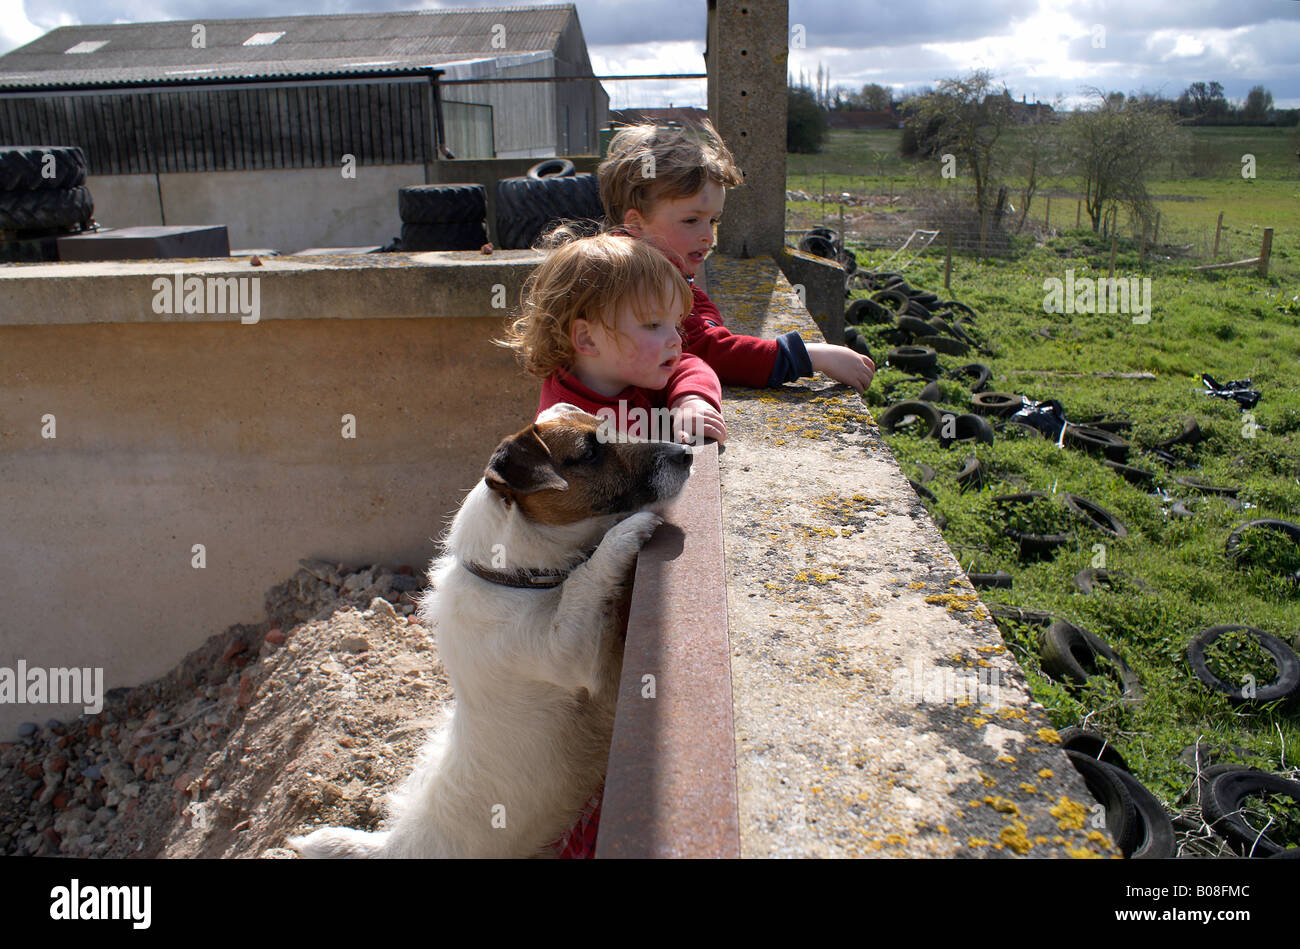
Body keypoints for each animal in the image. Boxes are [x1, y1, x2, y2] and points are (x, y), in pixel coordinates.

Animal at [289, 403, 696, 852]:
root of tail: (394, 846)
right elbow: (586, 579)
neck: (514, 577)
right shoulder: (565, 649)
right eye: (589, 452)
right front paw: (625, 533)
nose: (687, 453)